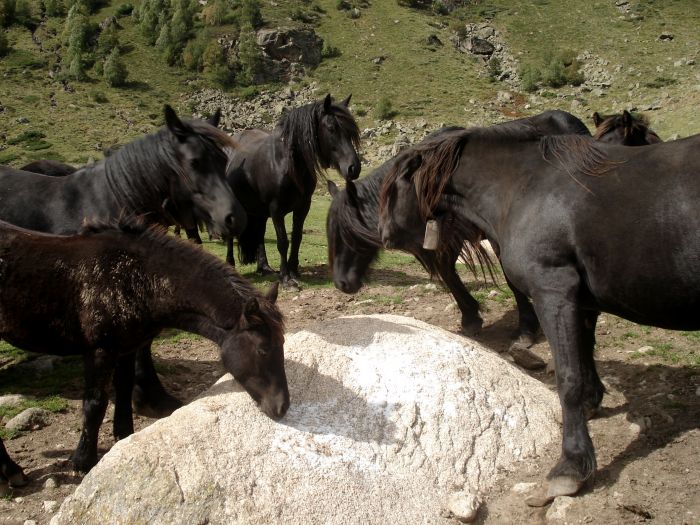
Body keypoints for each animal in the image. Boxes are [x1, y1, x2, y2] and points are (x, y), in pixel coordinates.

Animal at [0, 105, 246, 418]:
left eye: (223, 161)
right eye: (195, 162)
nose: (235, 218)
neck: (110, 204)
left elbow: (144, 345)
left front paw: (153, 396)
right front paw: (148, 396)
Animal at [0, 217, 288, 492]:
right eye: (263, 349)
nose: (282, 406)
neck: (134, 277)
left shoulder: (126, 347)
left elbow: (124, 389)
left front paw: (123, 436)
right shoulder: (99, 351)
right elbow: (95, 404)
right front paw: (82, 462)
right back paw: (12, 472)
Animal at [378, 124, 700, 504]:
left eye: (393, 187)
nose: (384, 233)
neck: (524, 188)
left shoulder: (553, 292)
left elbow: (569, 378)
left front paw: (571, 466)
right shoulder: (580, 302)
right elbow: (585, 356)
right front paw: (591, 404)